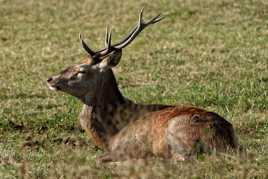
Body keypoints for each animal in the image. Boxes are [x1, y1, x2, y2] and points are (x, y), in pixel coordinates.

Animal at [47, 9, 238, 162]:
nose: (50, 79)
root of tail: (225, 138)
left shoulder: (126, 147)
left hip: (178, 132)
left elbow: (97, 160)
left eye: (81, 70)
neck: (111, 135)